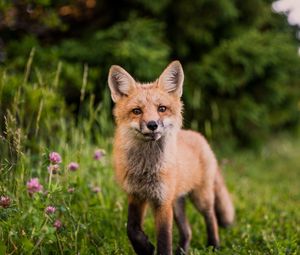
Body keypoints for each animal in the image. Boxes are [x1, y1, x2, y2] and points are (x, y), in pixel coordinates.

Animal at [108, 60, 234, 254]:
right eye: (137, 111)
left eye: (162, 109)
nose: (152, 125)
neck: (146, 168)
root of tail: (198, 136)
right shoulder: (136, 195)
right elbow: (132, 229)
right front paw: (145, 248)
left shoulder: (163, 202)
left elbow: (164, 240)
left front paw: (153, 248)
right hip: (177, 203)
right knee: (188, 231)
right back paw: (182, 250)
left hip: (200, 197)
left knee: (211, 217)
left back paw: (214, 245)